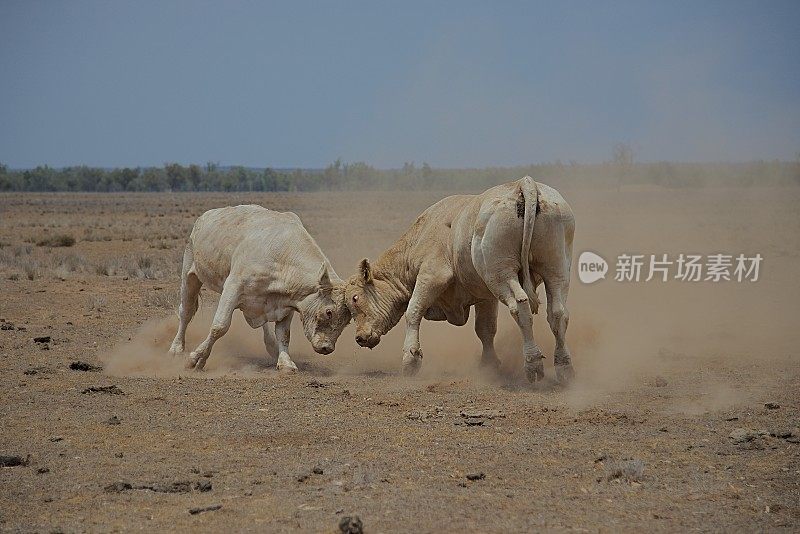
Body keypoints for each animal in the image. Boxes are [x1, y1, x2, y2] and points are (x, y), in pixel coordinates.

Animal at [169, 205, 350, 372]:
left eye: (347, 320)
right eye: (328, 312)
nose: (327, 348)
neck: (282, 255)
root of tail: (204, 216)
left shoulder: (288, 303)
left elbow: (283, 334)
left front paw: (285, 362)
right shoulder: (232, 288)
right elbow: (219, 327)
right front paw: (196, 359)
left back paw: (272, 346)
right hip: (190, 275)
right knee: (186, 312)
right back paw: (176, 348)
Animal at [344, 178, 576, 384]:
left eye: (355, 298)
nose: (360, 338)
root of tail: (524, 184)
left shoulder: (431, 275)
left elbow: (413, 312)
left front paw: (411, 358)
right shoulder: (486, 296)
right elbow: (485, 329)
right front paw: (489, 364)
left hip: (500, 274)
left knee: (521, 307)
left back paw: (533, 362)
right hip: (556, 270)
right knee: (558, 313)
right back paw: (564, 367)